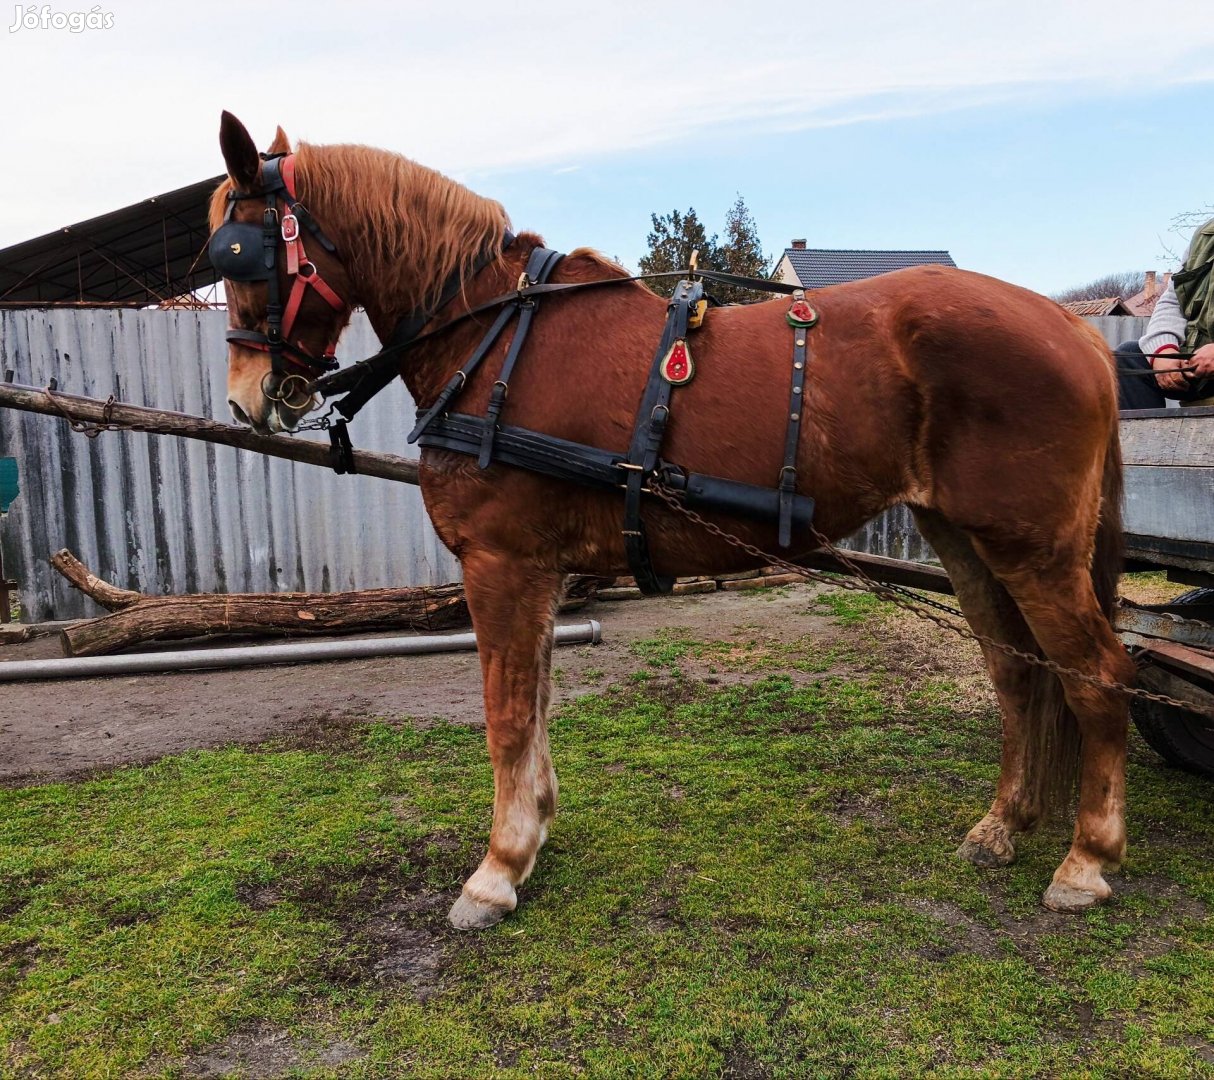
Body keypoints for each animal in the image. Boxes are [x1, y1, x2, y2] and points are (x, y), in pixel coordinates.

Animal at [213, 115, 1131, 927]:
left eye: (241, 252)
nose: (249, 398)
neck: (496, 336)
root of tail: (1073, 330)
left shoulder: (500, 562)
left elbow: (506, 715)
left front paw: (497, 869)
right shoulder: (537, 570)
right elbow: (536, 700)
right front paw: (533, 832)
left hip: (1036, 550)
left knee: (1095, 674)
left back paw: (1087, 859)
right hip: (965, 539)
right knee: (1019, 673)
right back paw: (1004, 825)